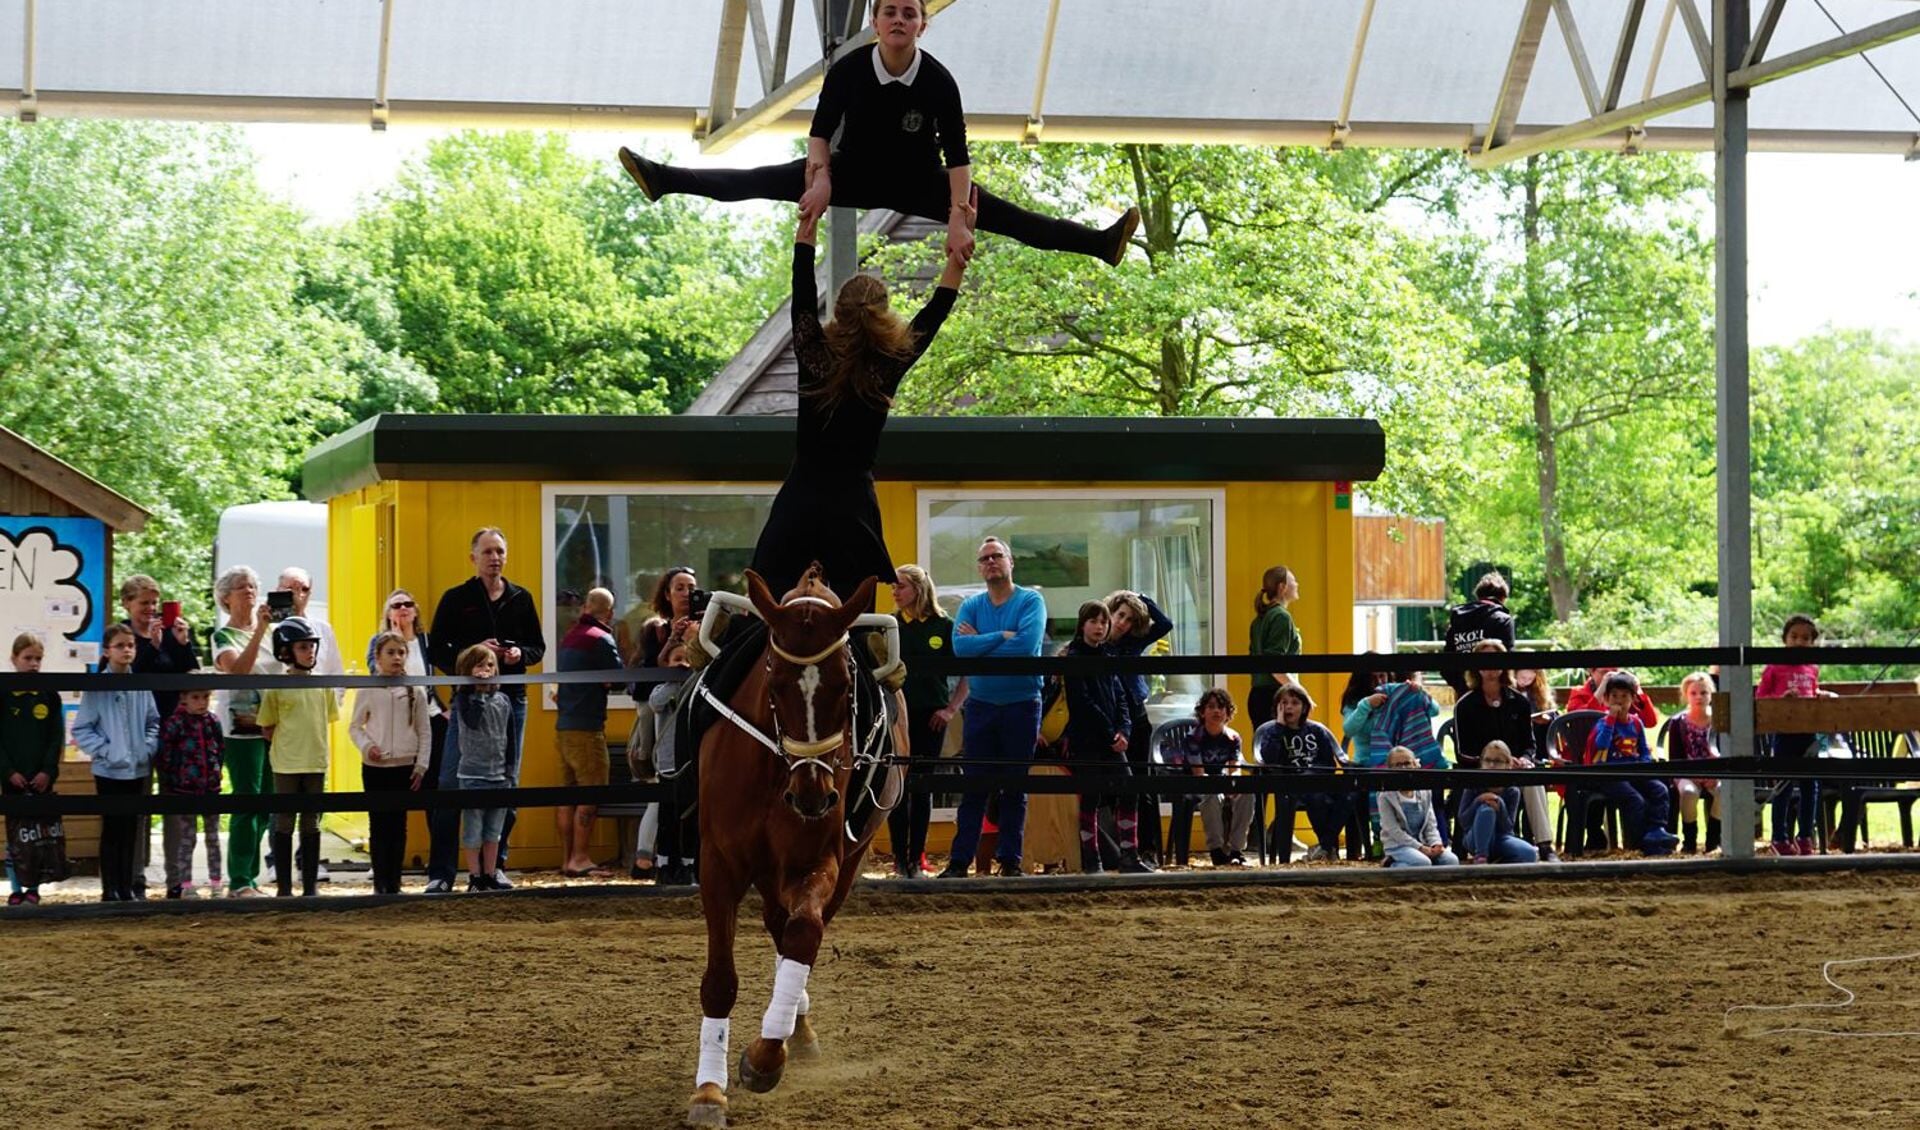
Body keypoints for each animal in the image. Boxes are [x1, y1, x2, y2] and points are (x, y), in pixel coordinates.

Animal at [687, 567, 902, 1120]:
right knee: (776, 926)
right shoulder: (718, 864)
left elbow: (804, 936)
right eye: (776, 679)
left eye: (845, 684)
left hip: (842, 862)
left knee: (794, 934)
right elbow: (720, 980)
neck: (774, 771)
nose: (813, 796)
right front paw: (709, 1090)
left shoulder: (817, 862)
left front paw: (765, 1057)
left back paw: (792, 1033)